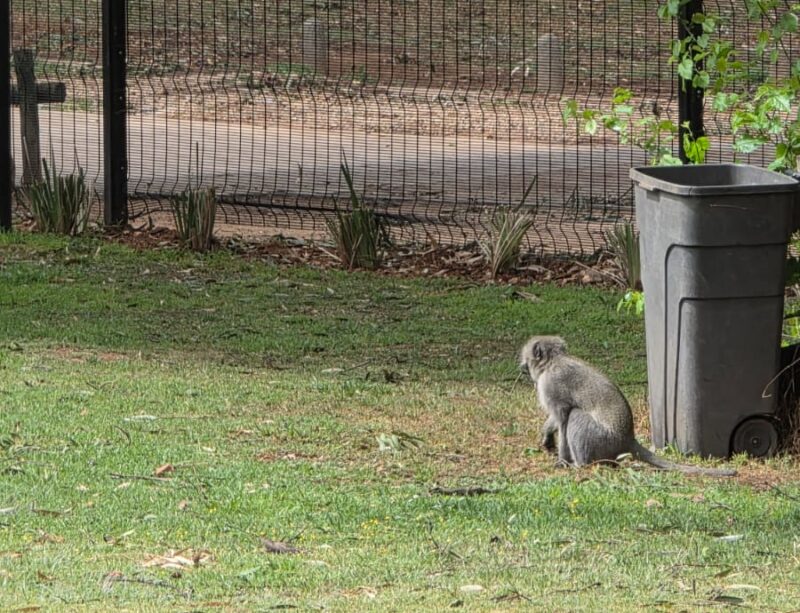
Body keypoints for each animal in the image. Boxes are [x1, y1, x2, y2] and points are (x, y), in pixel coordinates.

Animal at [519, 336, 737, 477]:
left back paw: (582, 465)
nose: (521, 367)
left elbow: (563, 419)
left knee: (575, 415)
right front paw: (547, 434)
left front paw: (562, 461)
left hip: (603, 440)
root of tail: (628, 439)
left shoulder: (551, 385)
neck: (553, 361)